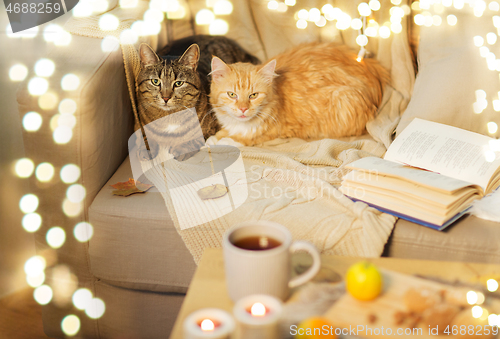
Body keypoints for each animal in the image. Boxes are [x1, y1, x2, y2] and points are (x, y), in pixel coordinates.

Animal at [210, 42, 390, 146]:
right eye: (232, 94)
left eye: (253, 95)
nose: (243, 109)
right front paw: (216, 137)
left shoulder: (276, 130)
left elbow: (246, 138)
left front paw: (225, 140)